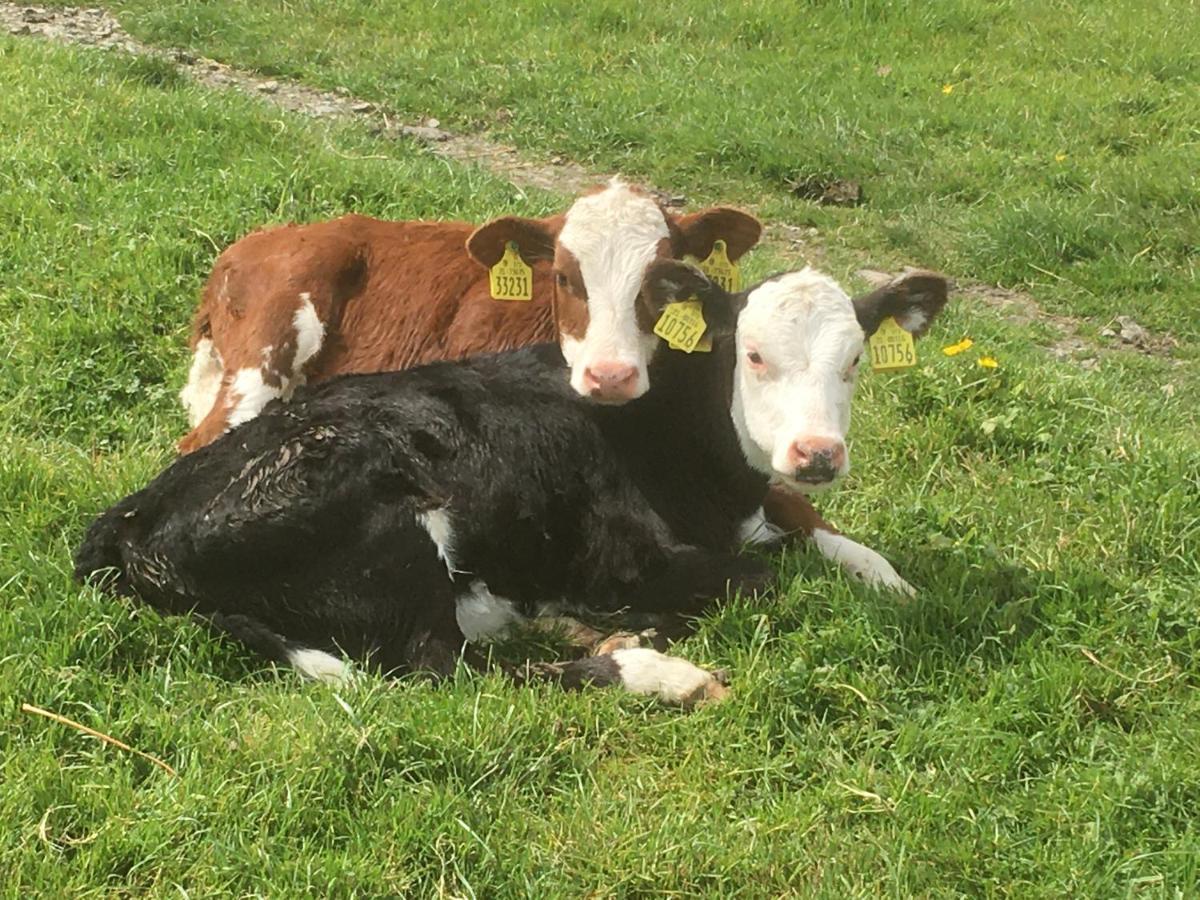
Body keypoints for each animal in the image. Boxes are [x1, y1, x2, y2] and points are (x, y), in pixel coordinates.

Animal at [79, 260, 950, 705]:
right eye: (756, 355)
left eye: (855, 359)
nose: (818, 453)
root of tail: (128, 518)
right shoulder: (630, 559)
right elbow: (759, 576)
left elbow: (822, 531)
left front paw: (900, 585)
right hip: (395, 532)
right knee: (444, 670)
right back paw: (653, 670)